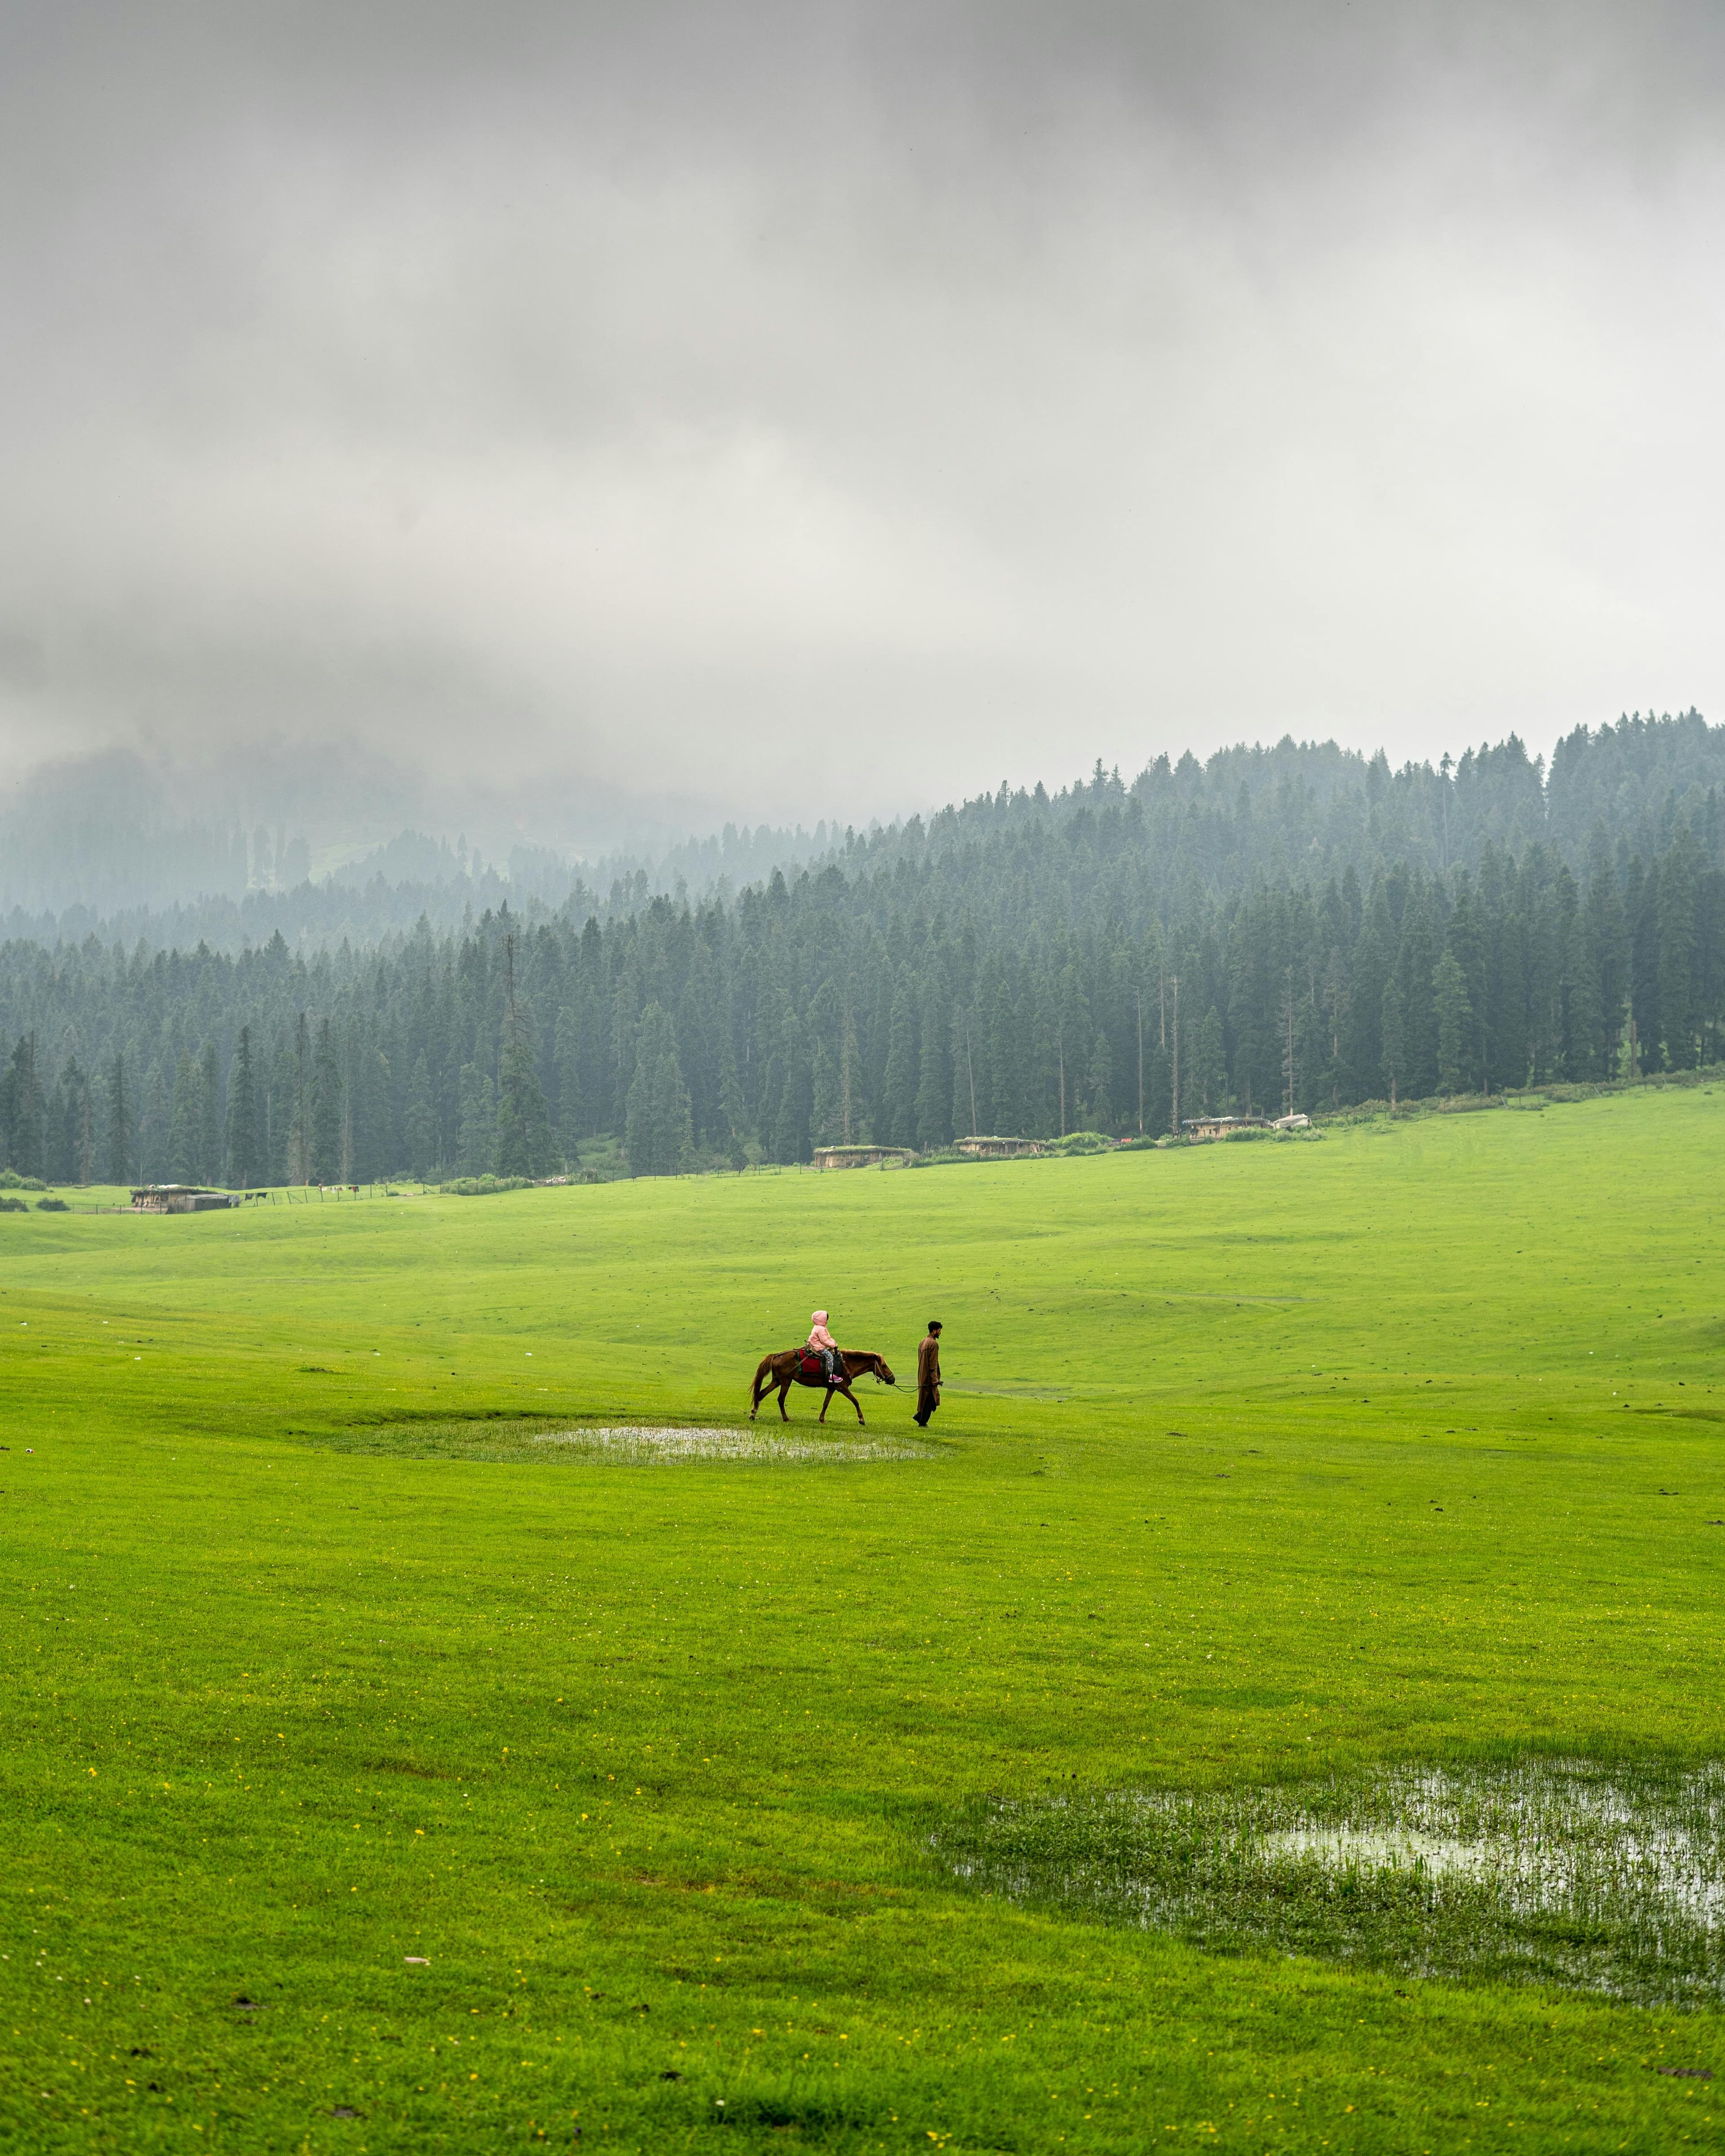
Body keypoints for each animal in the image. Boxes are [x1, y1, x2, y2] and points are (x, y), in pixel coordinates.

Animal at [748, 1347, 897, 1425]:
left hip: (777, 1381)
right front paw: (861, 1419)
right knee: (781, 1399)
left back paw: (753, 1414)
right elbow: (856, 1401)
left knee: (761, 1393)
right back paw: (786, 1419)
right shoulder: (843, 1388)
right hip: (786, 1381)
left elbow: (826, 1404)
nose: (893, 1378)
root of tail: (776, 1356)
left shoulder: (832, 1388)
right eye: (884, 1366)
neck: (847, 1364)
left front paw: (822, 1420)